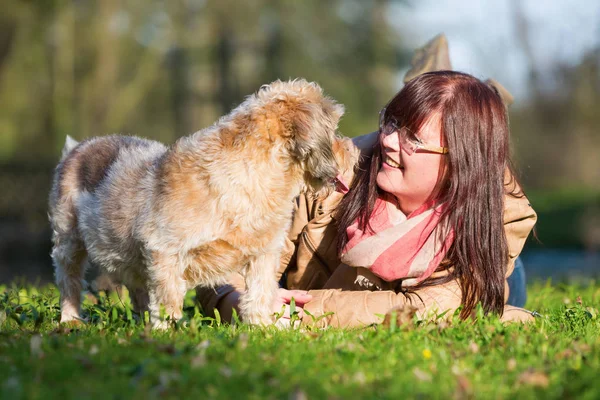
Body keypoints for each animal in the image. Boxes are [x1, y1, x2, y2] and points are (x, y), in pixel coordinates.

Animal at [49, 79, 356, 326]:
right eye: (333, 130)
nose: (352, 148)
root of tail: (77, 148)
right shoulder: (165, 252)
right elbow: (168, 299)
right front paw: (169, 331)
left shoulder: (264, 254)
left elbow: (260, 294)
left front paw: (263, 328)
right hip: (69, 242)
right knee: (70, 281)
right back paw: (71, 320)